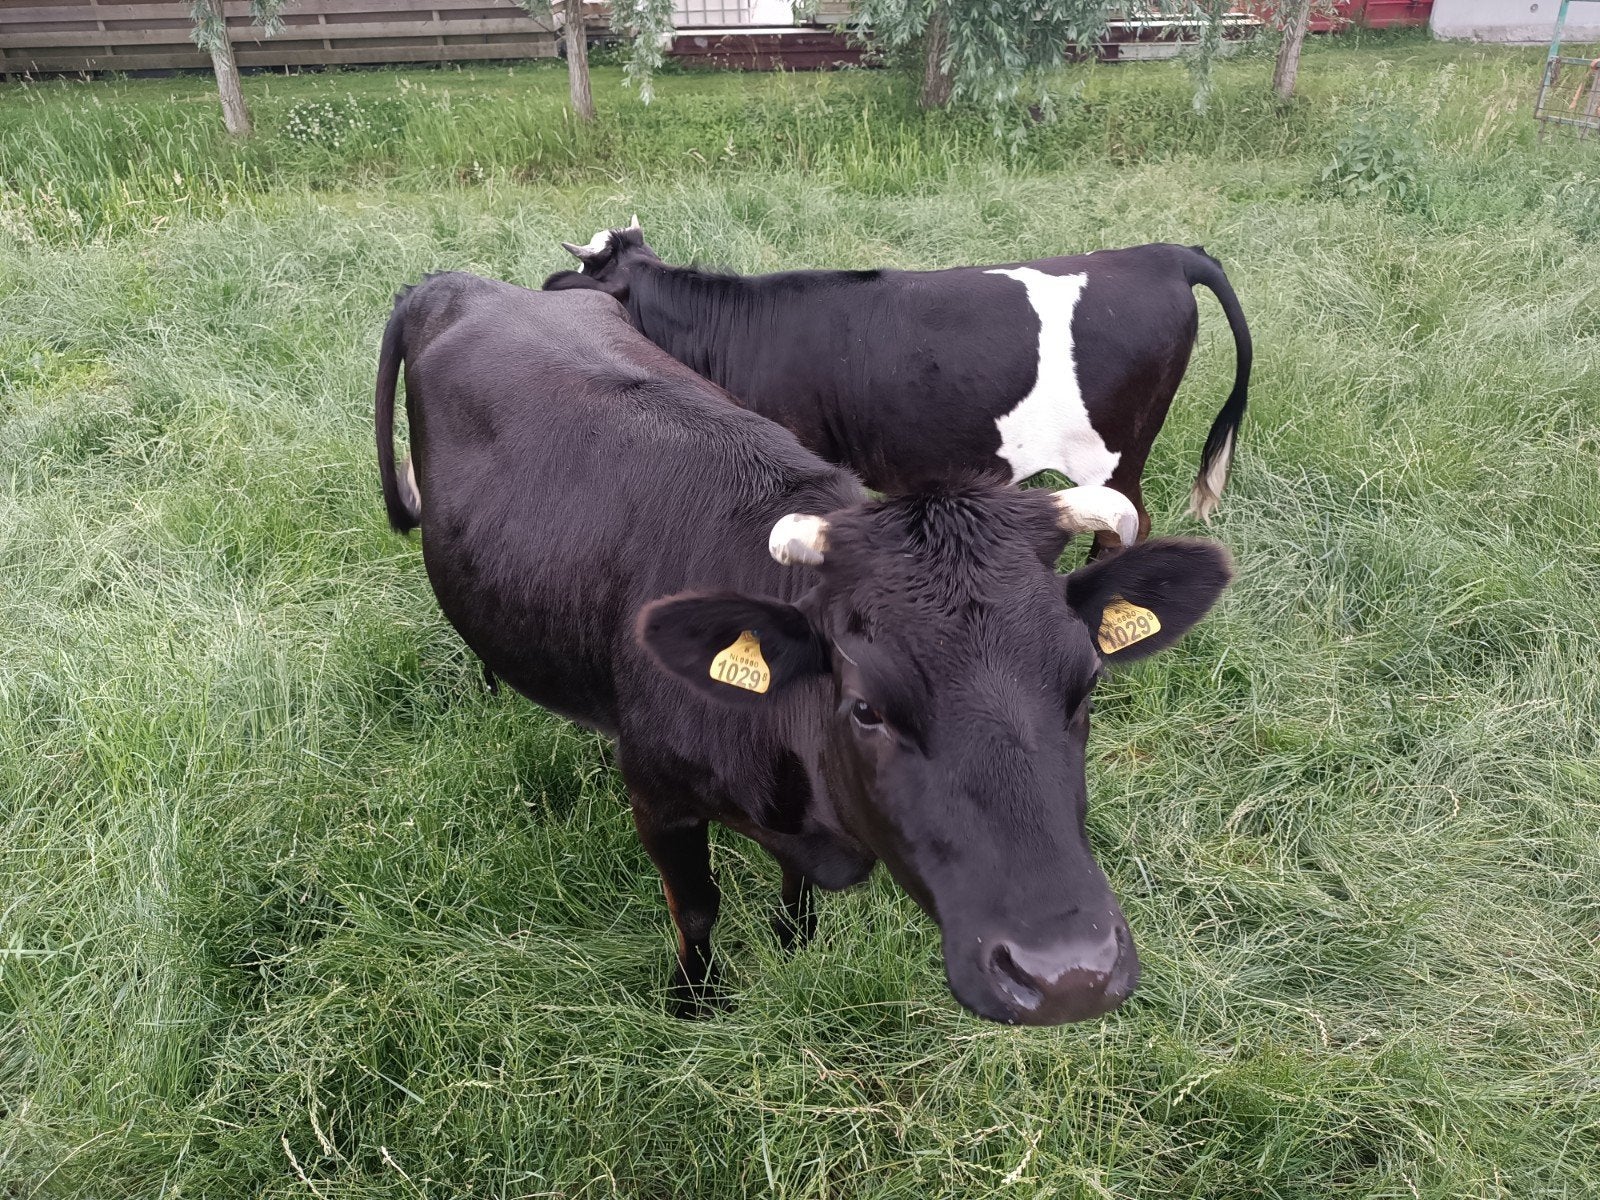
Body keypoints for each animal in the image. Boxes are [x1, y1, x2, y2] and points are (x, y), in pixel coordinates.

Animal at [375, 272, 1234, 1025]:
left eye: (1086, 685)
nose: (1067, 976)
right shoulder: (657, 797)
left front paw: (795, 940)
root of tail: (458, 282)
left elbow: (795, 886)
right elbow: (697, 909)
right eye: (866, 708)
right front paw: (695, 1002)